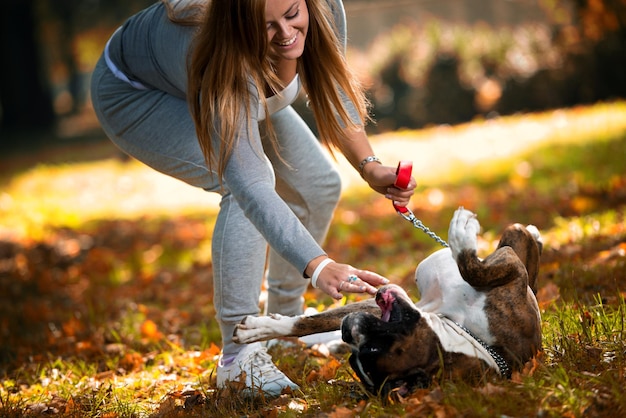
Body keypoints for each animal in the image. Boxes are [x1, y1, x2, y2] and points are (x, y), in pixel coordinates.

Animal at [233, 207, 540, 396]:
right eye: (355, 359)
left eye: (371, 350)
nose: (348, 334)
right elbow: (312, 322)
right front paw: (258, 329)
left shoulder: (512, 269)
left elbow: (472, 265)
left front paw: (461, 234)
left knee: (523, 239)